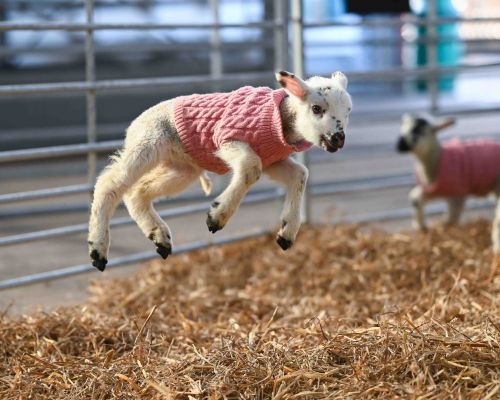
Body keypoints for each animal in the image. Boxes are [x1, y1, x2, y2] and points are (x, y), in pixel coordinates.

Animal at [88, 72, 352, 272]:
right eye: (316, 108)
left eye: (348, 111)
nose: (338, 140)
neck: (282, 122)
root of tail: (133, 126)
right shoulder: (227, 137)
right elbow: (250, 167)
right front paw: (217, 216)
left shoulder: (273, 160)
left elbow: (300, 174)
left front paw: (287, 233)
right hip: (148, 142)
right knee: (109, 183)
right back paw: (98, 250)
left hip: (182, 168)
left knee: (138, 192)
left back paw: (159, 237)